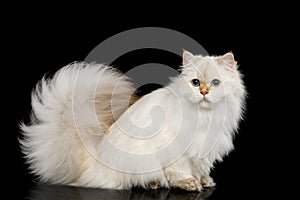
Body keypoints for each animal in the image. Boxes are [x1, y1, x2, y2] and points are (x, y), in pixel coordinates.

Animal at [20, 50, 246, 191]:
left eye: (215, 83)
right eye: (196, 83)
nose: (204, 92)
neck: (205, 117)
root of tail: (95, 162)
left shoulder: (204, 148)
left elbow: (200, 169)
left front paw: (204, 180)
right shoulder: (176, 150)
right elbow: (181, 171)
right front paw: (189, 183)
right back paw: (154, 183)